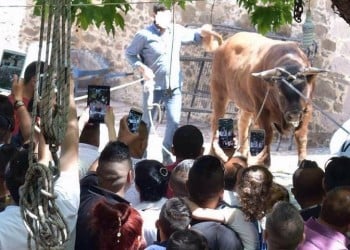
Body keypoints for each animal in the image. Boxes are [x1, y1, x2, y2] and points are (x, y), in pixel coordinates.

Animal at [206, 32, 324, 167]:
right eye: (280, 92)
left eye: (304, 90)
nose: (293, 114)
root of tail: (225, 44)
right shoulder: (261, 108)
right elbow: (267, 133)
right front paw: (265, 161)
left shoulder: (307, 109)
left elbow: (301, 135)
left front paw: (303, 160)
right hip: (219, 92)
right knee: (216, 120)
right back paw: (213, 152)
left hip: (246, 104)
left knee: (242, 122)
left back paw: (242, 154)